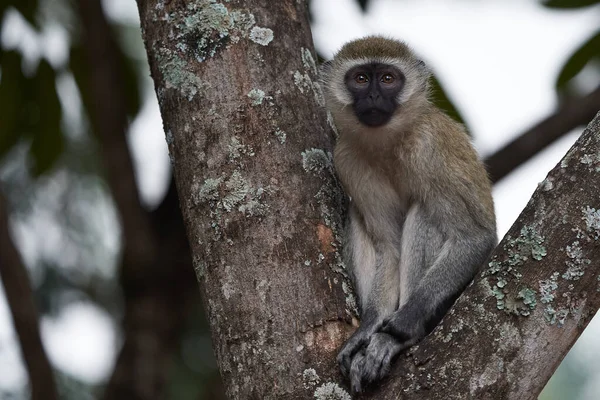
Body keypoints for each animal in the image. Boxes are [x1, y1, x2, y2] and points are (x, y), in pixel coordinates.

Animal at [322, 36, 500, 392]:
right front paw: (369, 327)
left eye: (388, 79)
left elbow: (474, 237)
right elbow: (388, 247)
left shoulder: (430, 146)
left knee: (426, 211)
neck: (388, 142)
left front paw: (396, 331)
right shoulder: (346, 157)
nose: (374, 96)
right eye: (361, 79)